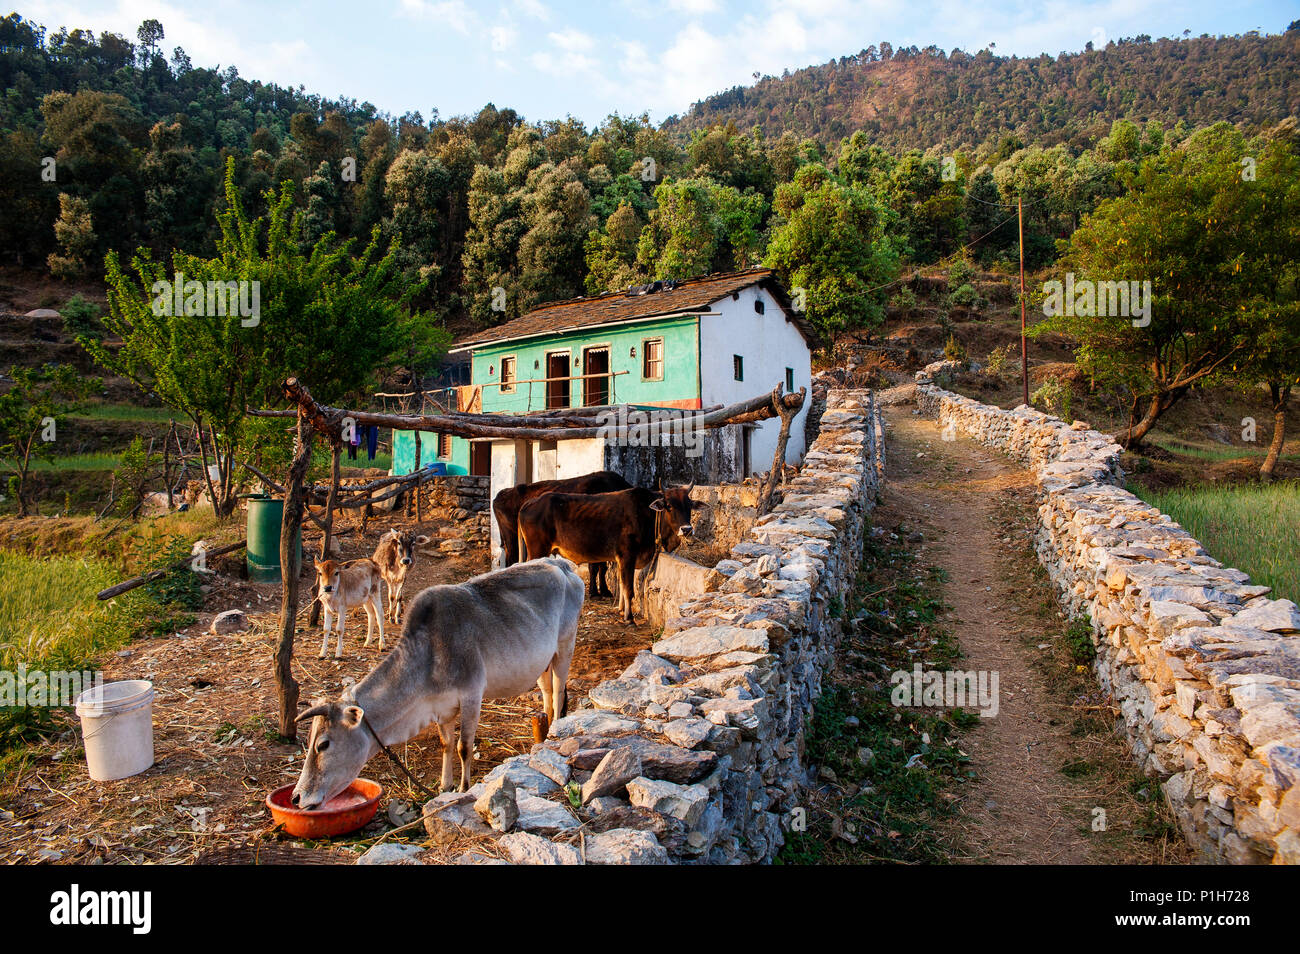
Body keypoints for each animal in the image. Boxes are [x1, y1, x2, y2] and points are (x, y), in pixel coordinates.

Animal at [295, 556, 585, 811]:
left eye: (323, 744)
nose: (298, 797)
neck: (430, 654)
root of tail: (562, 565)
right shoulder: (440, 708)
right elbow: (447, 744)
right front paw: (446, 785)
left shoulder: (471, 695)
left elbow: (463, 747)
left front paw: (463, 787)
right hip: (543, 662)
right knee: (547, 694)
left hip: (565, 646)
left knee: (559, 692)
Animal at [488, 470, 631, 597]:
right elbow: (595, 567)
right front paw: (594, 592)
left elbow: (602, 568)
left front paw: (605, 591)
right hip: (512, 540)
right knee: (511, 560)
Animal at [517, 480, 702, 623]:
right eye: (669, 506)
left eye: (689, 505)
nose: (686, 529)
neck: (648, 514)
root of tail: (529, 503)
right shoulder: (627, 556)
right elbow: (628, 589)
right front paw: (629, 618)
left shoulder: (621, 559)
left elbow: (621, 583)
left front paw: (620, 610)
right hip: (538, 550)